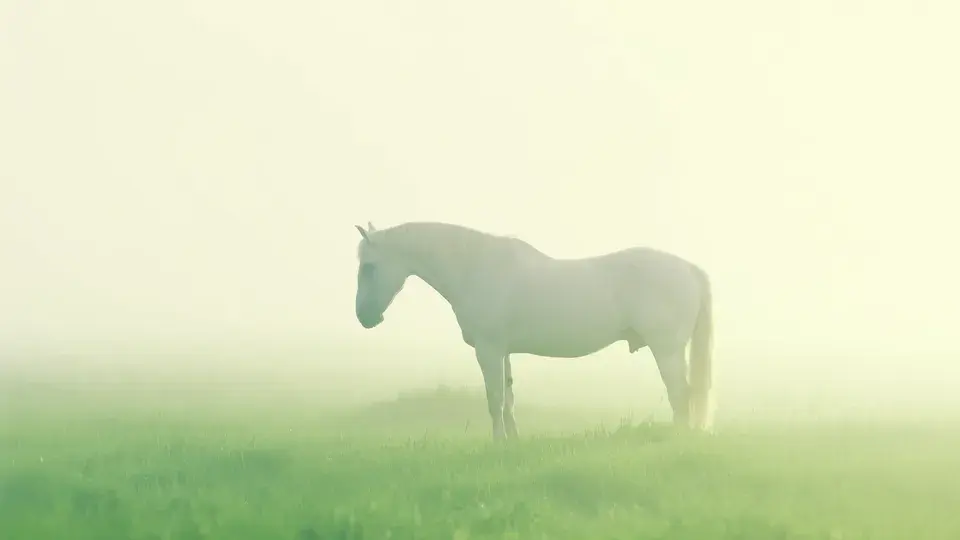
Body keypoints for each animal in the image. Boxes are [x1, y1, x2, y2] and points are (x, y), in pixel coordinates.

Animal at [352, 221, 714, 440]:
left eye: (369, 267)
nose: (364, 317)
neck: (474, 268)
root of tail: (689, 269)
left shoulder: (488, 350)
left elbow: (494, 397)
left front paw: (498, 442)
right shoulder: (503, 352)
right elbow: (509, 397)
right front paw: (513, 441)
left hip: (667, 350)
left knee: (681, 394)